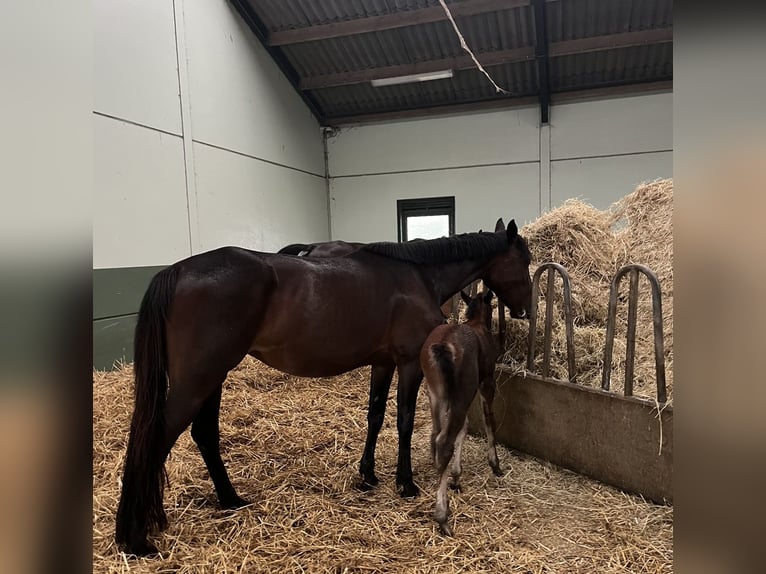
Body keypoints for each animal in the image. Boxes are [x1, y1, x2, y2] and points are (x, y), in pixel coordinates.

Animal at [424, 290, 500, 536]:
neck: (477, 324)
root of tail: (442, 346)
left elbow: (465, 426)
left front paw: (456, 476)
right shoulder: (486, 382)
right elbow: (488, 419)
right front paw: (495, 464)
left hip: (436, 393)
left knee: (436, 435)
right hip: (462, 392)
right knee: (445, 440)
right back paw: (442, 516)